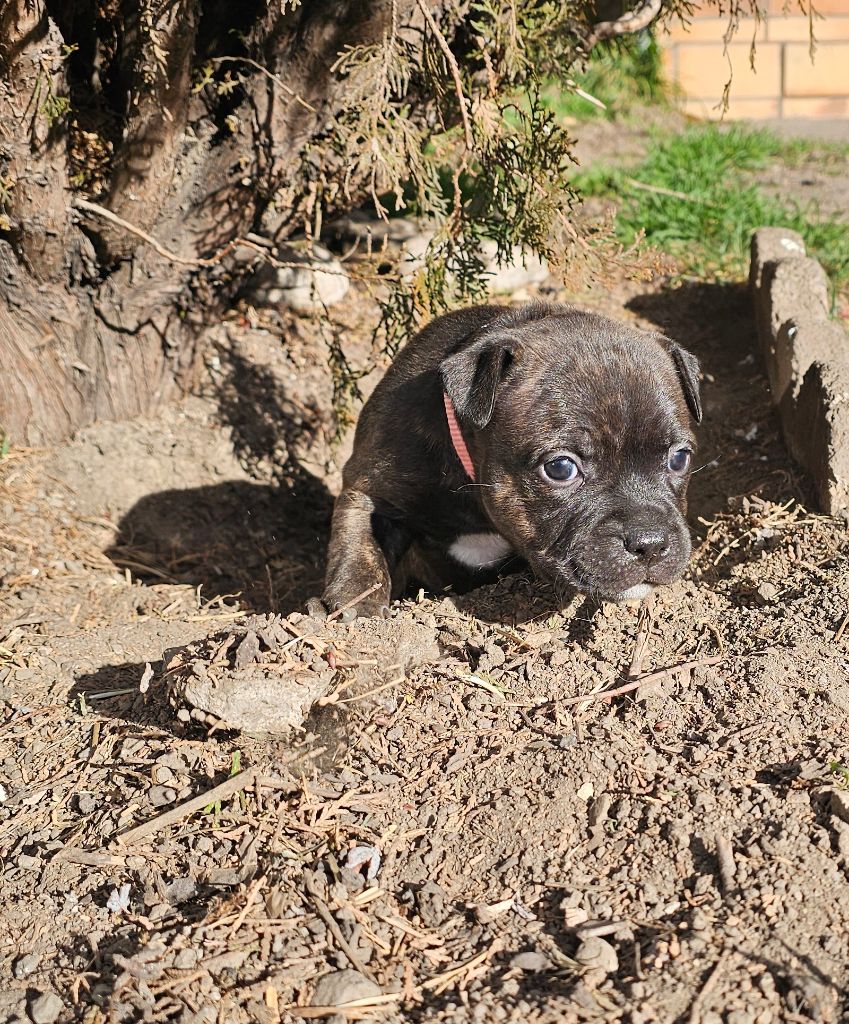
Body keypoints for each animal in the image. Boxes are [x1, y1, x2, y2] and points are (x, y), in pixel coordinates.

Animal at [311, 302, 702, 620]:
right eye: (560, 468)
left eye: (679, 459)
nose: (650, 542)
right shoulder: (370, 485)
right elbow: (361, 541)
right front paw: (357, 606)